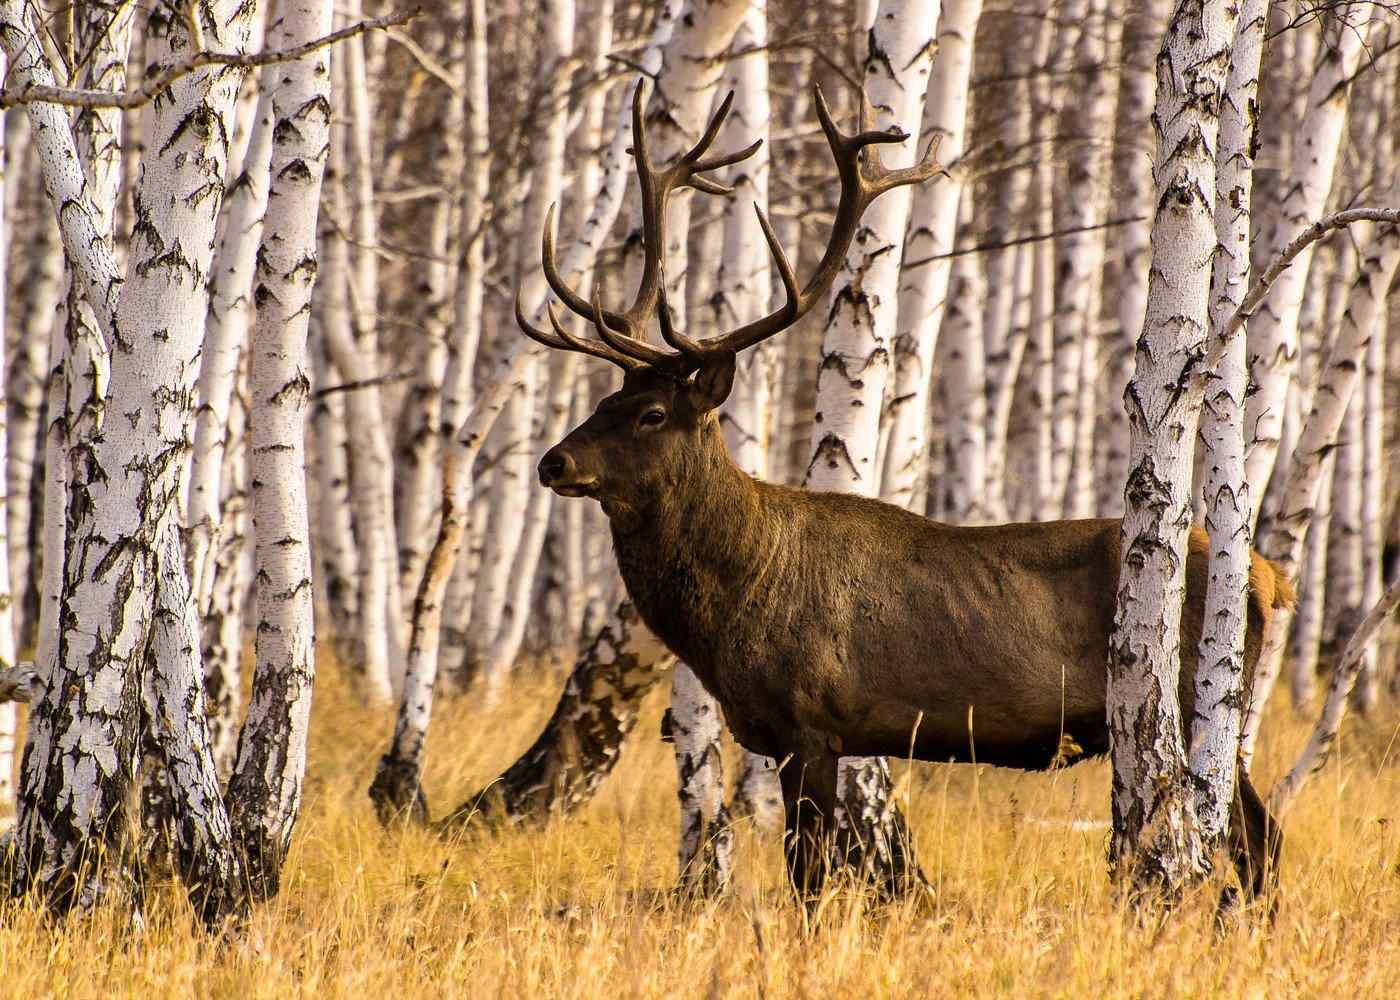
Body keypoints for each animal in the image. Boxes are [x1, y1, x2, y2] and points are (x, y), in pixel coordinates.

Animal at [520, 81, 1293, 901]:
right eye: (604, 400)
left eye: (652, 414)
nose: (553, 464)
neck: (732, 601)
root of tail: (1270, 577)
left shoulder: (810, 721)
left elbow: (808, 871)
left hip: (1196, 694)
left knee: (1259, 836)